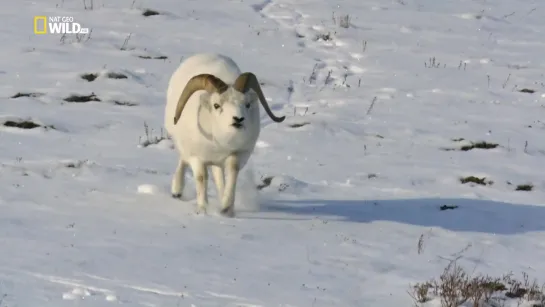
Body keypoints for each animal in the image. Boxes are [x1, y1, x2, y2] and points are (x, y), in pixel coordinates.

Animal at [164, 53, 284, 217]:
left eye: (247, 104)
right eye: (216, 105)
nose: (238, 119)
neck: (219, 142)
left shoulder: (235, 155)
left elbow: (231, 174)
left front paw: (226, 208)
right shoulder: (197, 158)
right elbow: (201, 178)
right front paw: (202, 210)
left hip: (217, 164)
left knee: (219, 179)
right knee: (183, 161)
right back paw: (177, 190)